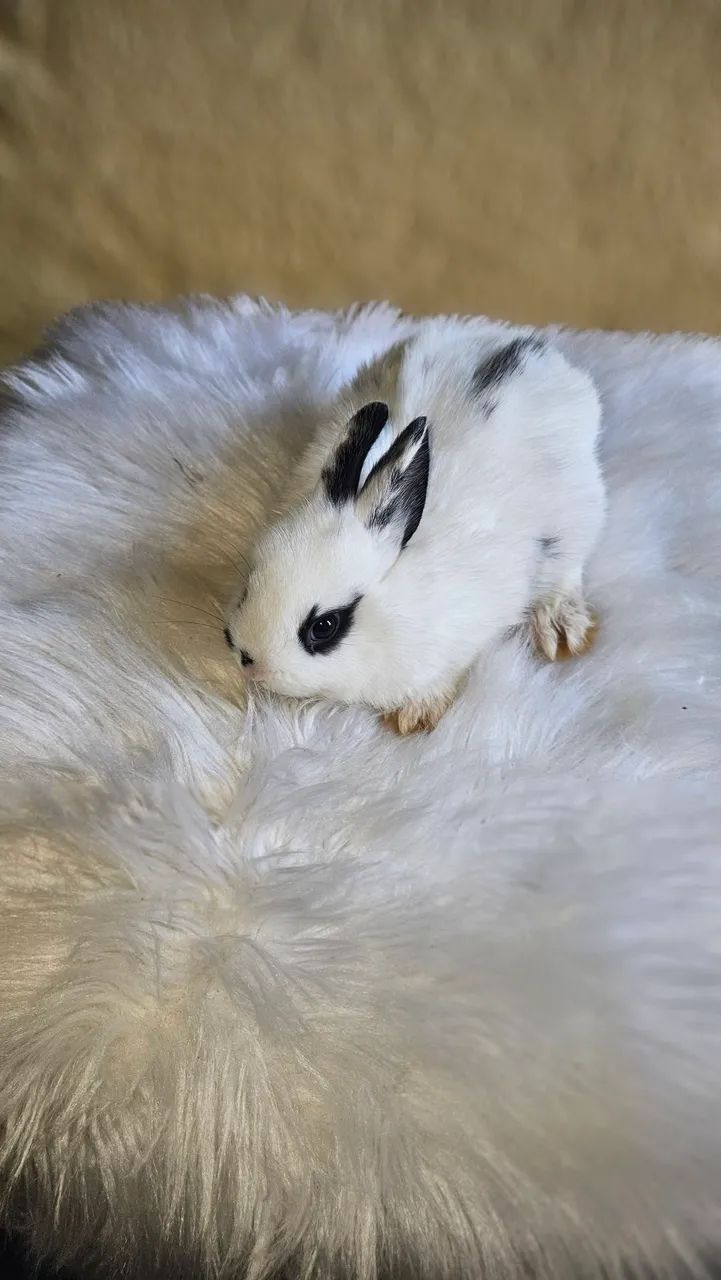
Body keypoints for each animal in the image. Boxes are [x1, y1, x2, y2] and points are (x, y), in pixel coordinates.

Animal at [224, 320, 605, 734]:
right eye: (248, 584)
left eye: (324, 626)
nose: (250, 662)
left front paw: (415, 714)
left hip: (575, 522)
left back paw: (561, 628)